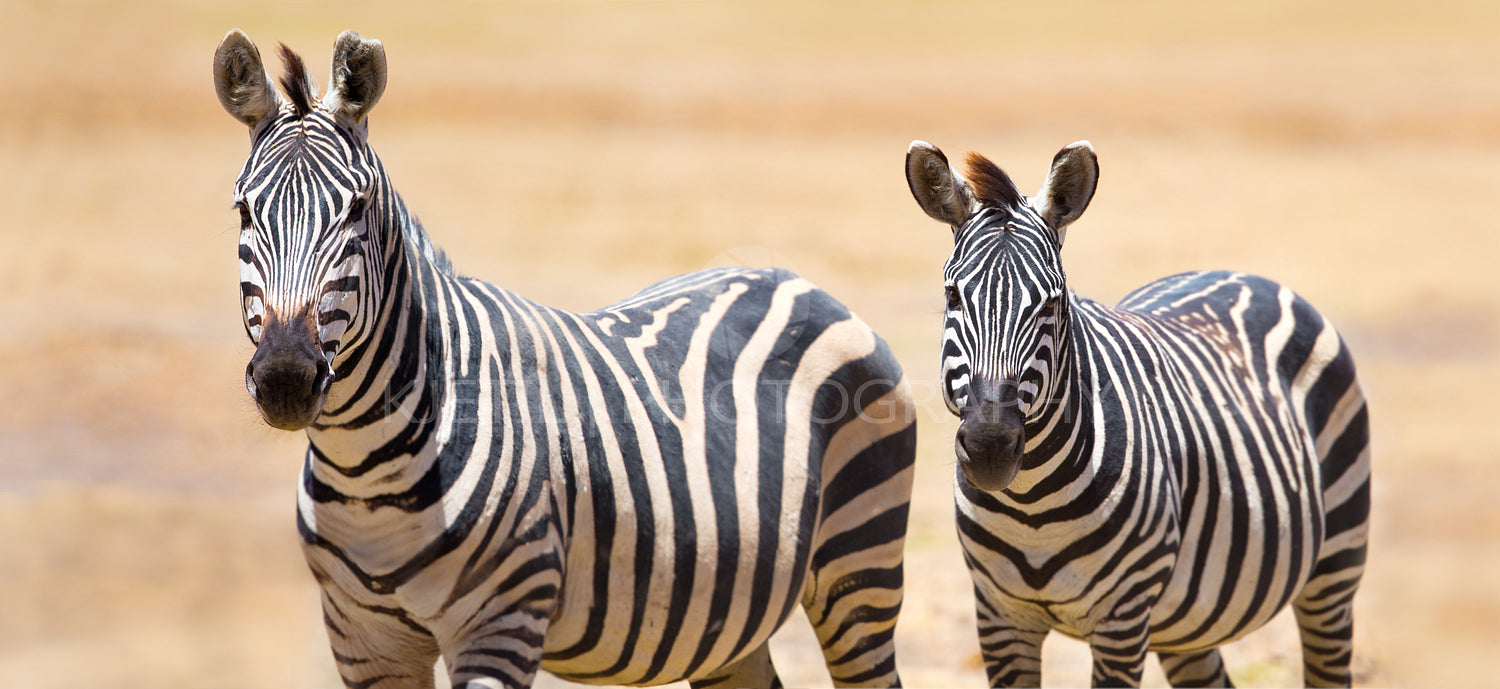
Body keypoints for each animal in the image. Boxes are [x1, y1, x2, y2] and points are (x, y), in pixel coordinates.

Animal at [210, 30, 912, 689]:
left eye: (357, 210)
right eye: (243, 211)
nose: (286, 378)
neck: (367, 470)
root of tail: (787, 276)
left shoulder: (501, 621)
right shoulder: (361, 638)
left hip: (860, 564)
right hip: (731, 615)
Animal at [900, 141, 1374, 689]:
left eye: (1053, 302)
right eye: (953, 295)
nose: (990, 447)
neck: (1032, 509)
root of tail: (1240, 274)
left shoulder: (1122, 619)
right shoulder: (999, 615)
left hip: (1334, 569)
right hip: (1187, 619)